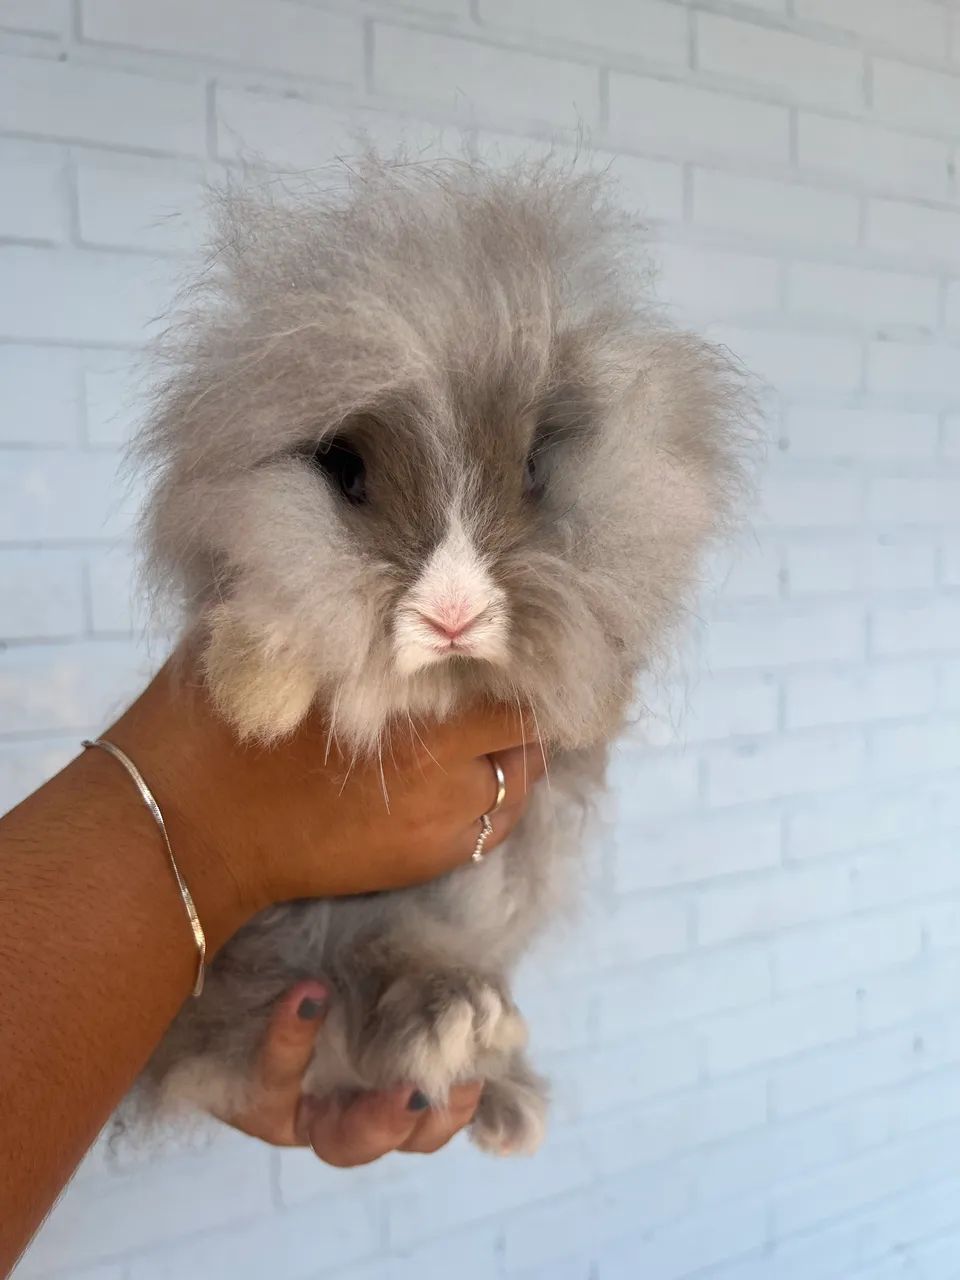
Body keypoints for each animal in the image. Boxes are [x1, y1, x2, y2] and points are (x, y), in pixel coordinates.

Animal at [131, 154, 753, 1156]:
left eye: (534, 468)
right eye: (346, 471)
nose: (451, 617)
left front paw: (585, 699)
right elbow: (268, 610)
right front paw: (252, 696)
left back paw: (494, 1073)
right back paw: (456, 1028)